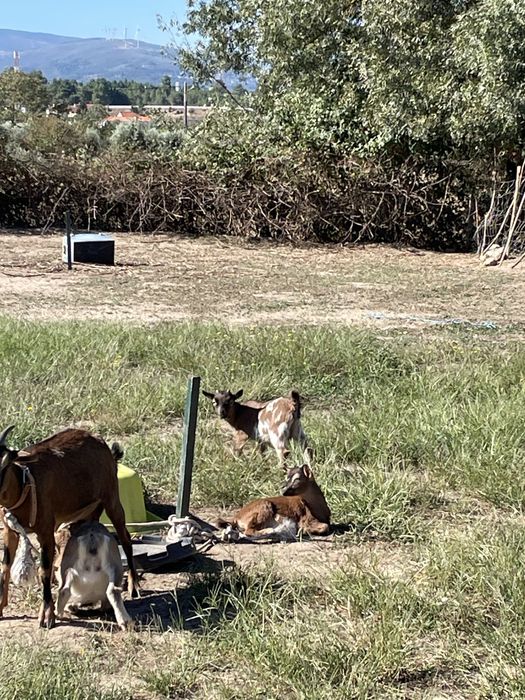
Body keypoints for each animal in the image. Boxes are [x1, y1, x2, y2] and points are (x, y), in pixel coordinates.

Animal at [0, 425, 138, 629]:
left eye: (5, 464)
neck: (26, 485)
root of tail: (100, 441)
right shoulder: (10, 529)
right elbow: (5, 567)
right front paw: (1, 607)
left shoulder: (46, 530)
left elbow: (44, 571)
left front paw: (47, 616)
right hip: (92, 509)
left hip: (111, 497)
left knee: (126, 538)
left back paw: (134, 586)